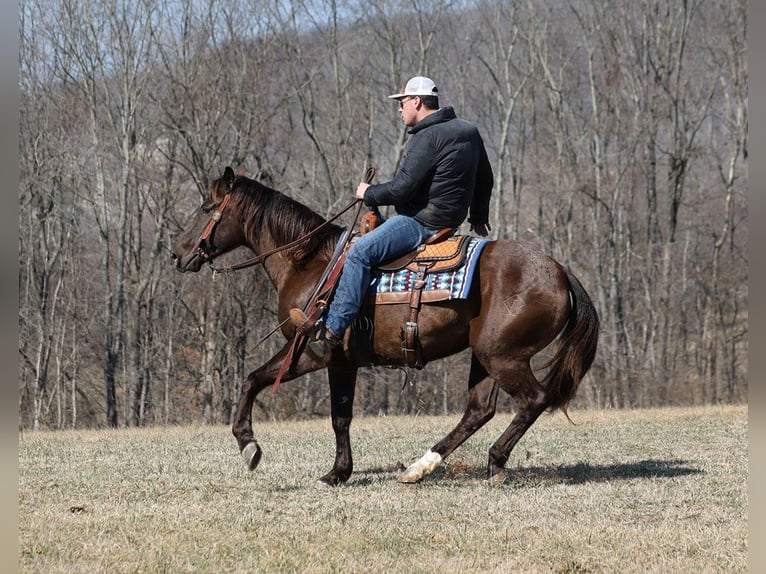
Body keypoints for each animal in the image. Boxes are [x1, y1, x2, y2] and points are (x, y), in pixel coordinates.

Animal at [172, 166, 600, 486]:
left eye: (207, 207)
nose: (178, 253)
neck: (310, 263)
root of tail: (560, 272)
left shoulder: (312, 351)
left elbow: (258, 383)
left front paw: (251, 446)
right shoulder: (340, 362)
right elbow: (336, 415)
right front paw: (338, 472)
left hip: (503, 357)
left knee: (533, 400)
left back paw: (494, 459)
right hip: (486, 357)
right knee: (479, 410)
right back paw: (422, 467)